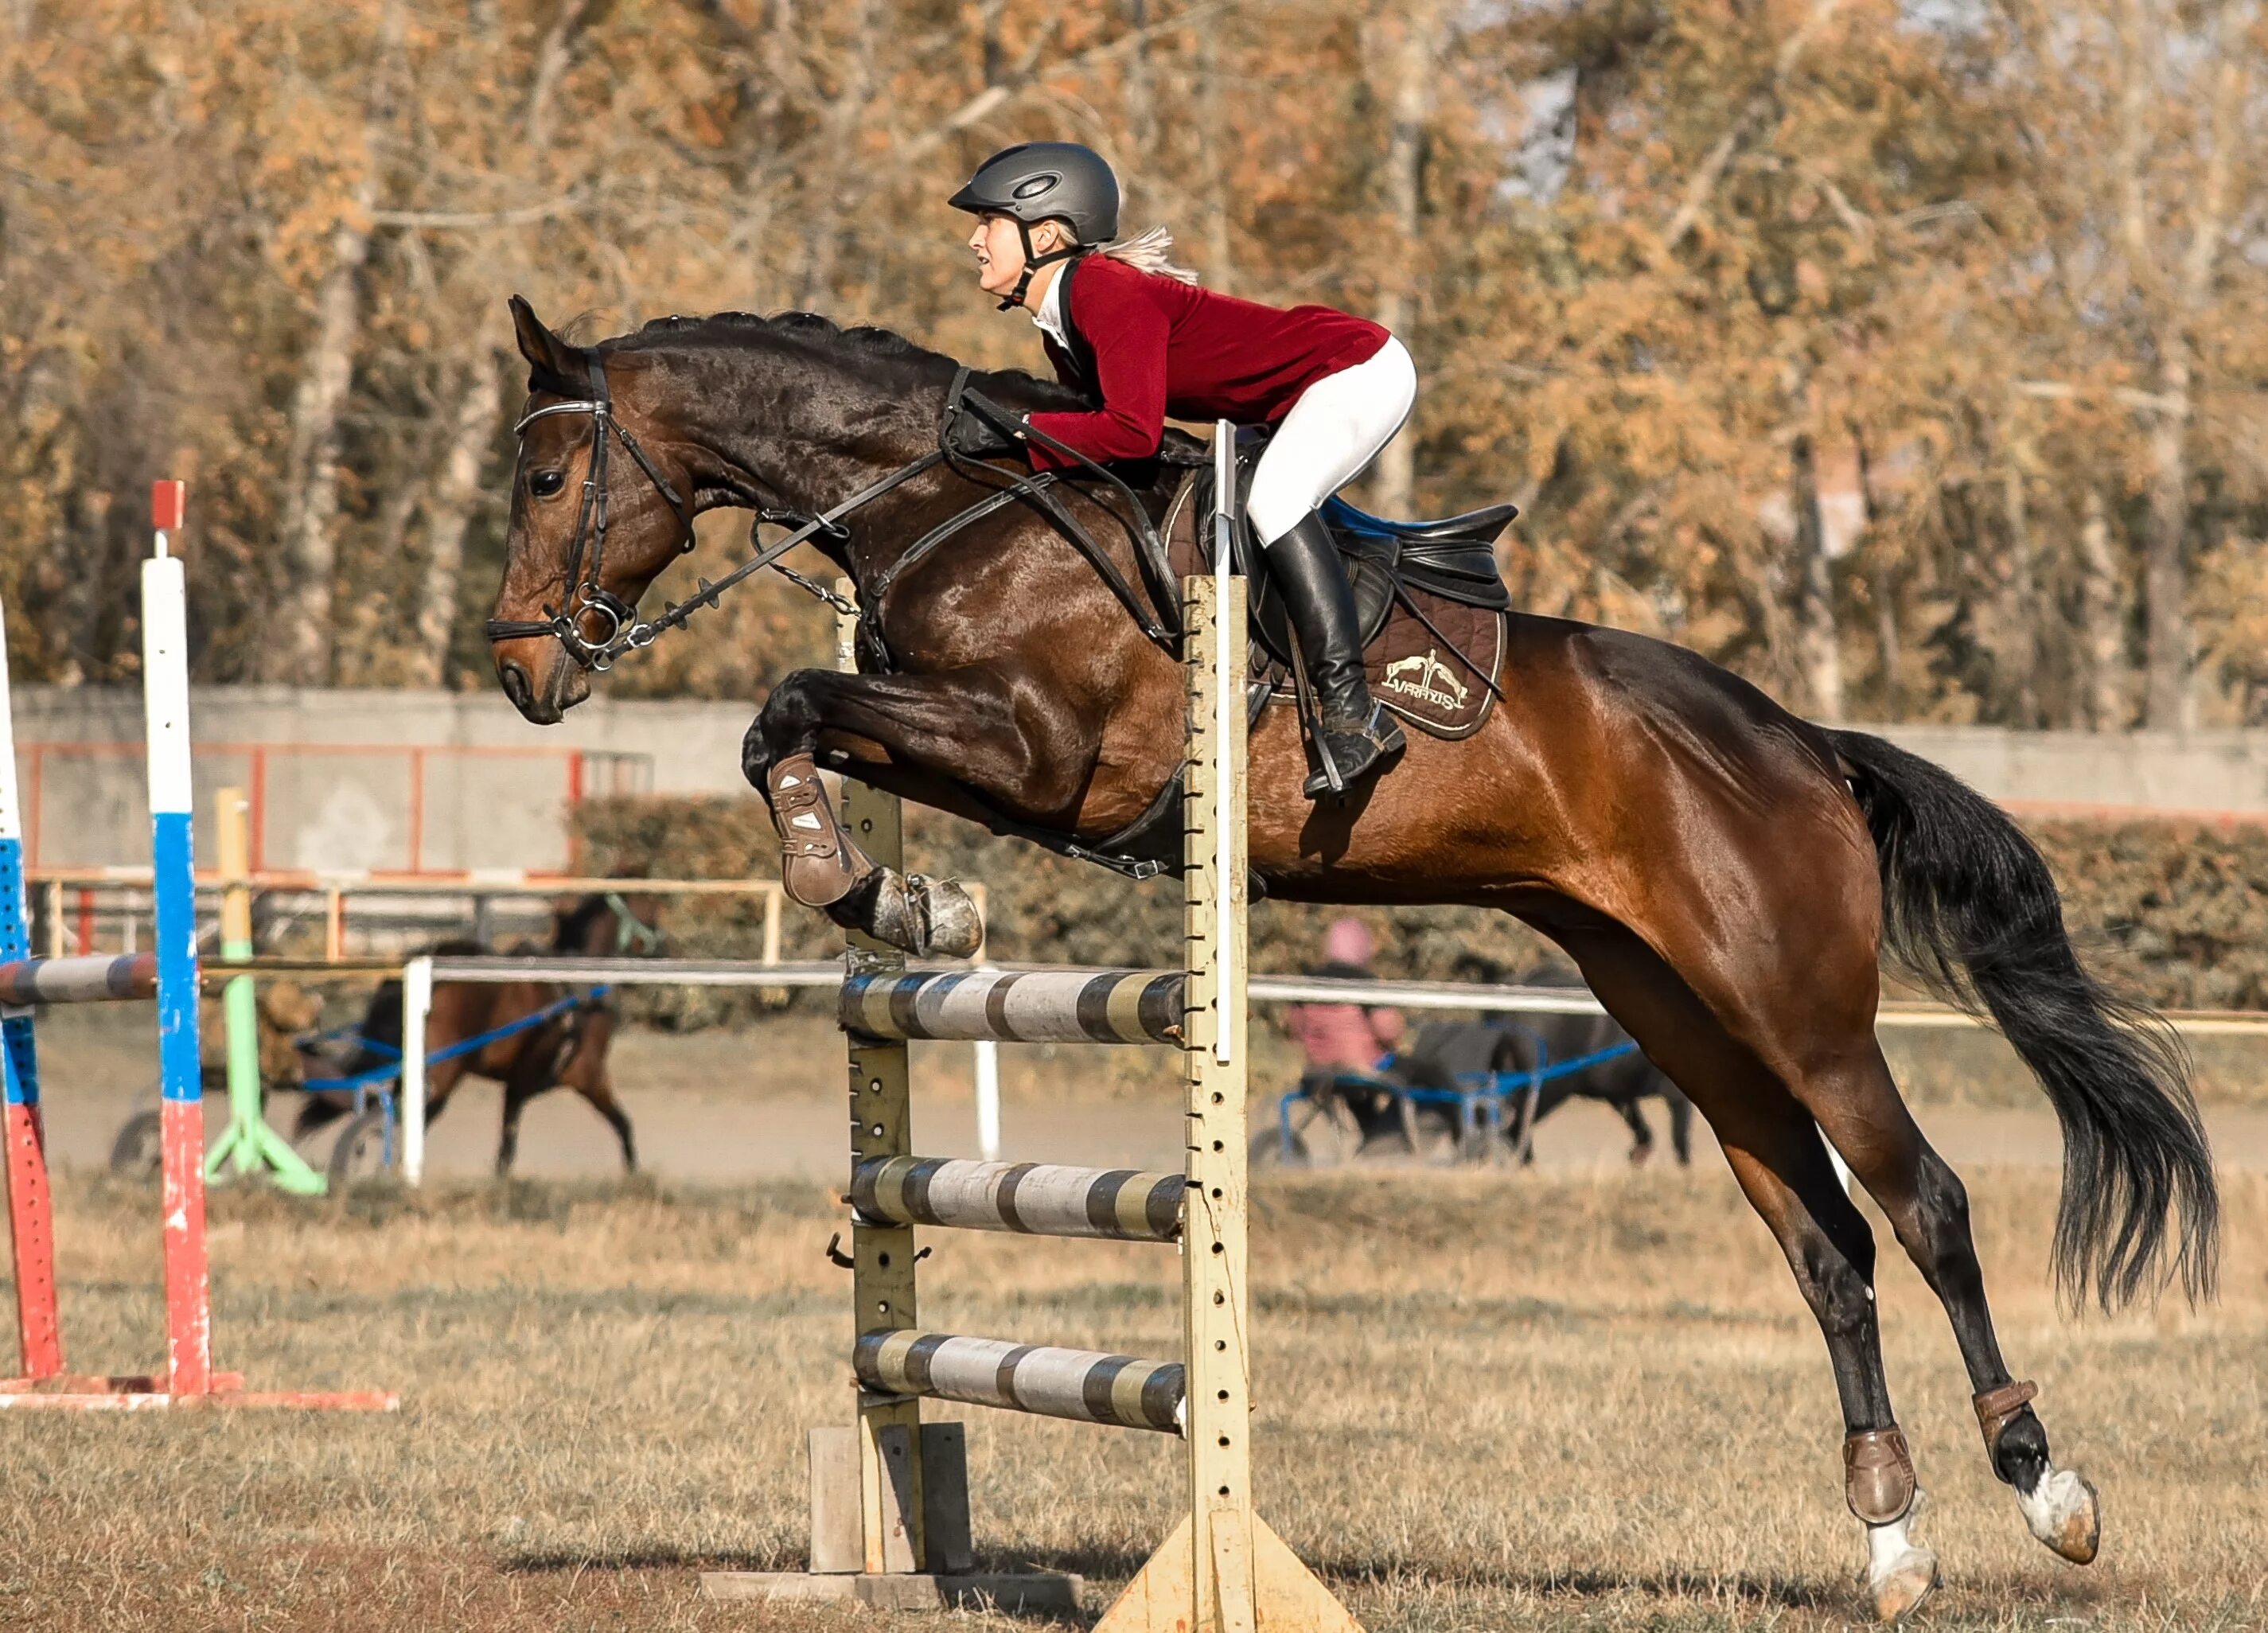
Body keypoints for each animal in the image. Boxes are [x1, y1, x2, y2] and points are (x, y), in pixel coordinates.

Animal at [483, 297, 2213, 1623]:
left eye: (551, 470)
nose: (516, 675)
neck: (943, 503)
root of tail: (1803, 746)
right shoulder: (970, 744)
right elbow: (792, 722)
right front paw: (891, 901)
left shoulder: (1042, 755)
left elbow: (786, 704)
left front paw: (863, 888)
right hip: (1678, 1012)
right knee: (1828, 1248)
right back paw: (1891, 1536)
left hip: (1796, 1005)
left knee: (1924, 1205)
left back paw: (2046, 1488)